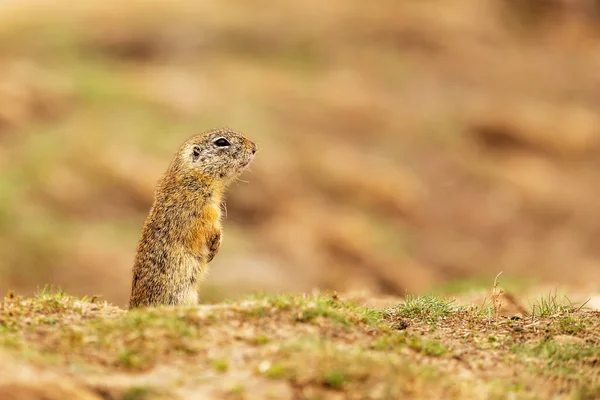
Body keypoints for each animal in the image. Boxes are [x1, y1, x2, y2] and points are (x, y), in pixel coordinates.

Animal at [129, 126, 255, 308]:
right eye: (221, 142)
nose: (254, 147)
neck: (193, 175)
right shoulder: (202, 211)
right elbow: (209, 228)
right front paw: (215, 246)